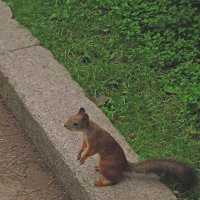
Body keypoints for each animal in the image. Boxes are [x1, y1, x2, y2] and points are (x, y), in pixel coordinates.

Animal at [63, 107, 198, 188]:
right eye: (70, 116)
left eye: (75, 123)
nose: (64, 125)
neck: (87, 130)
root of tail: (124, 166)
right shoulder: (85, 140)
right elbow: (83, 146)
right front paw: (79, 153)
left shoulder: (95, 142)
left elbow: (90, 151)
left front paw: (83, 158)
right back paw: (98, 168)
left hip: (107, 165)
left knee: (116, 180)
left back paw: (103, 181)